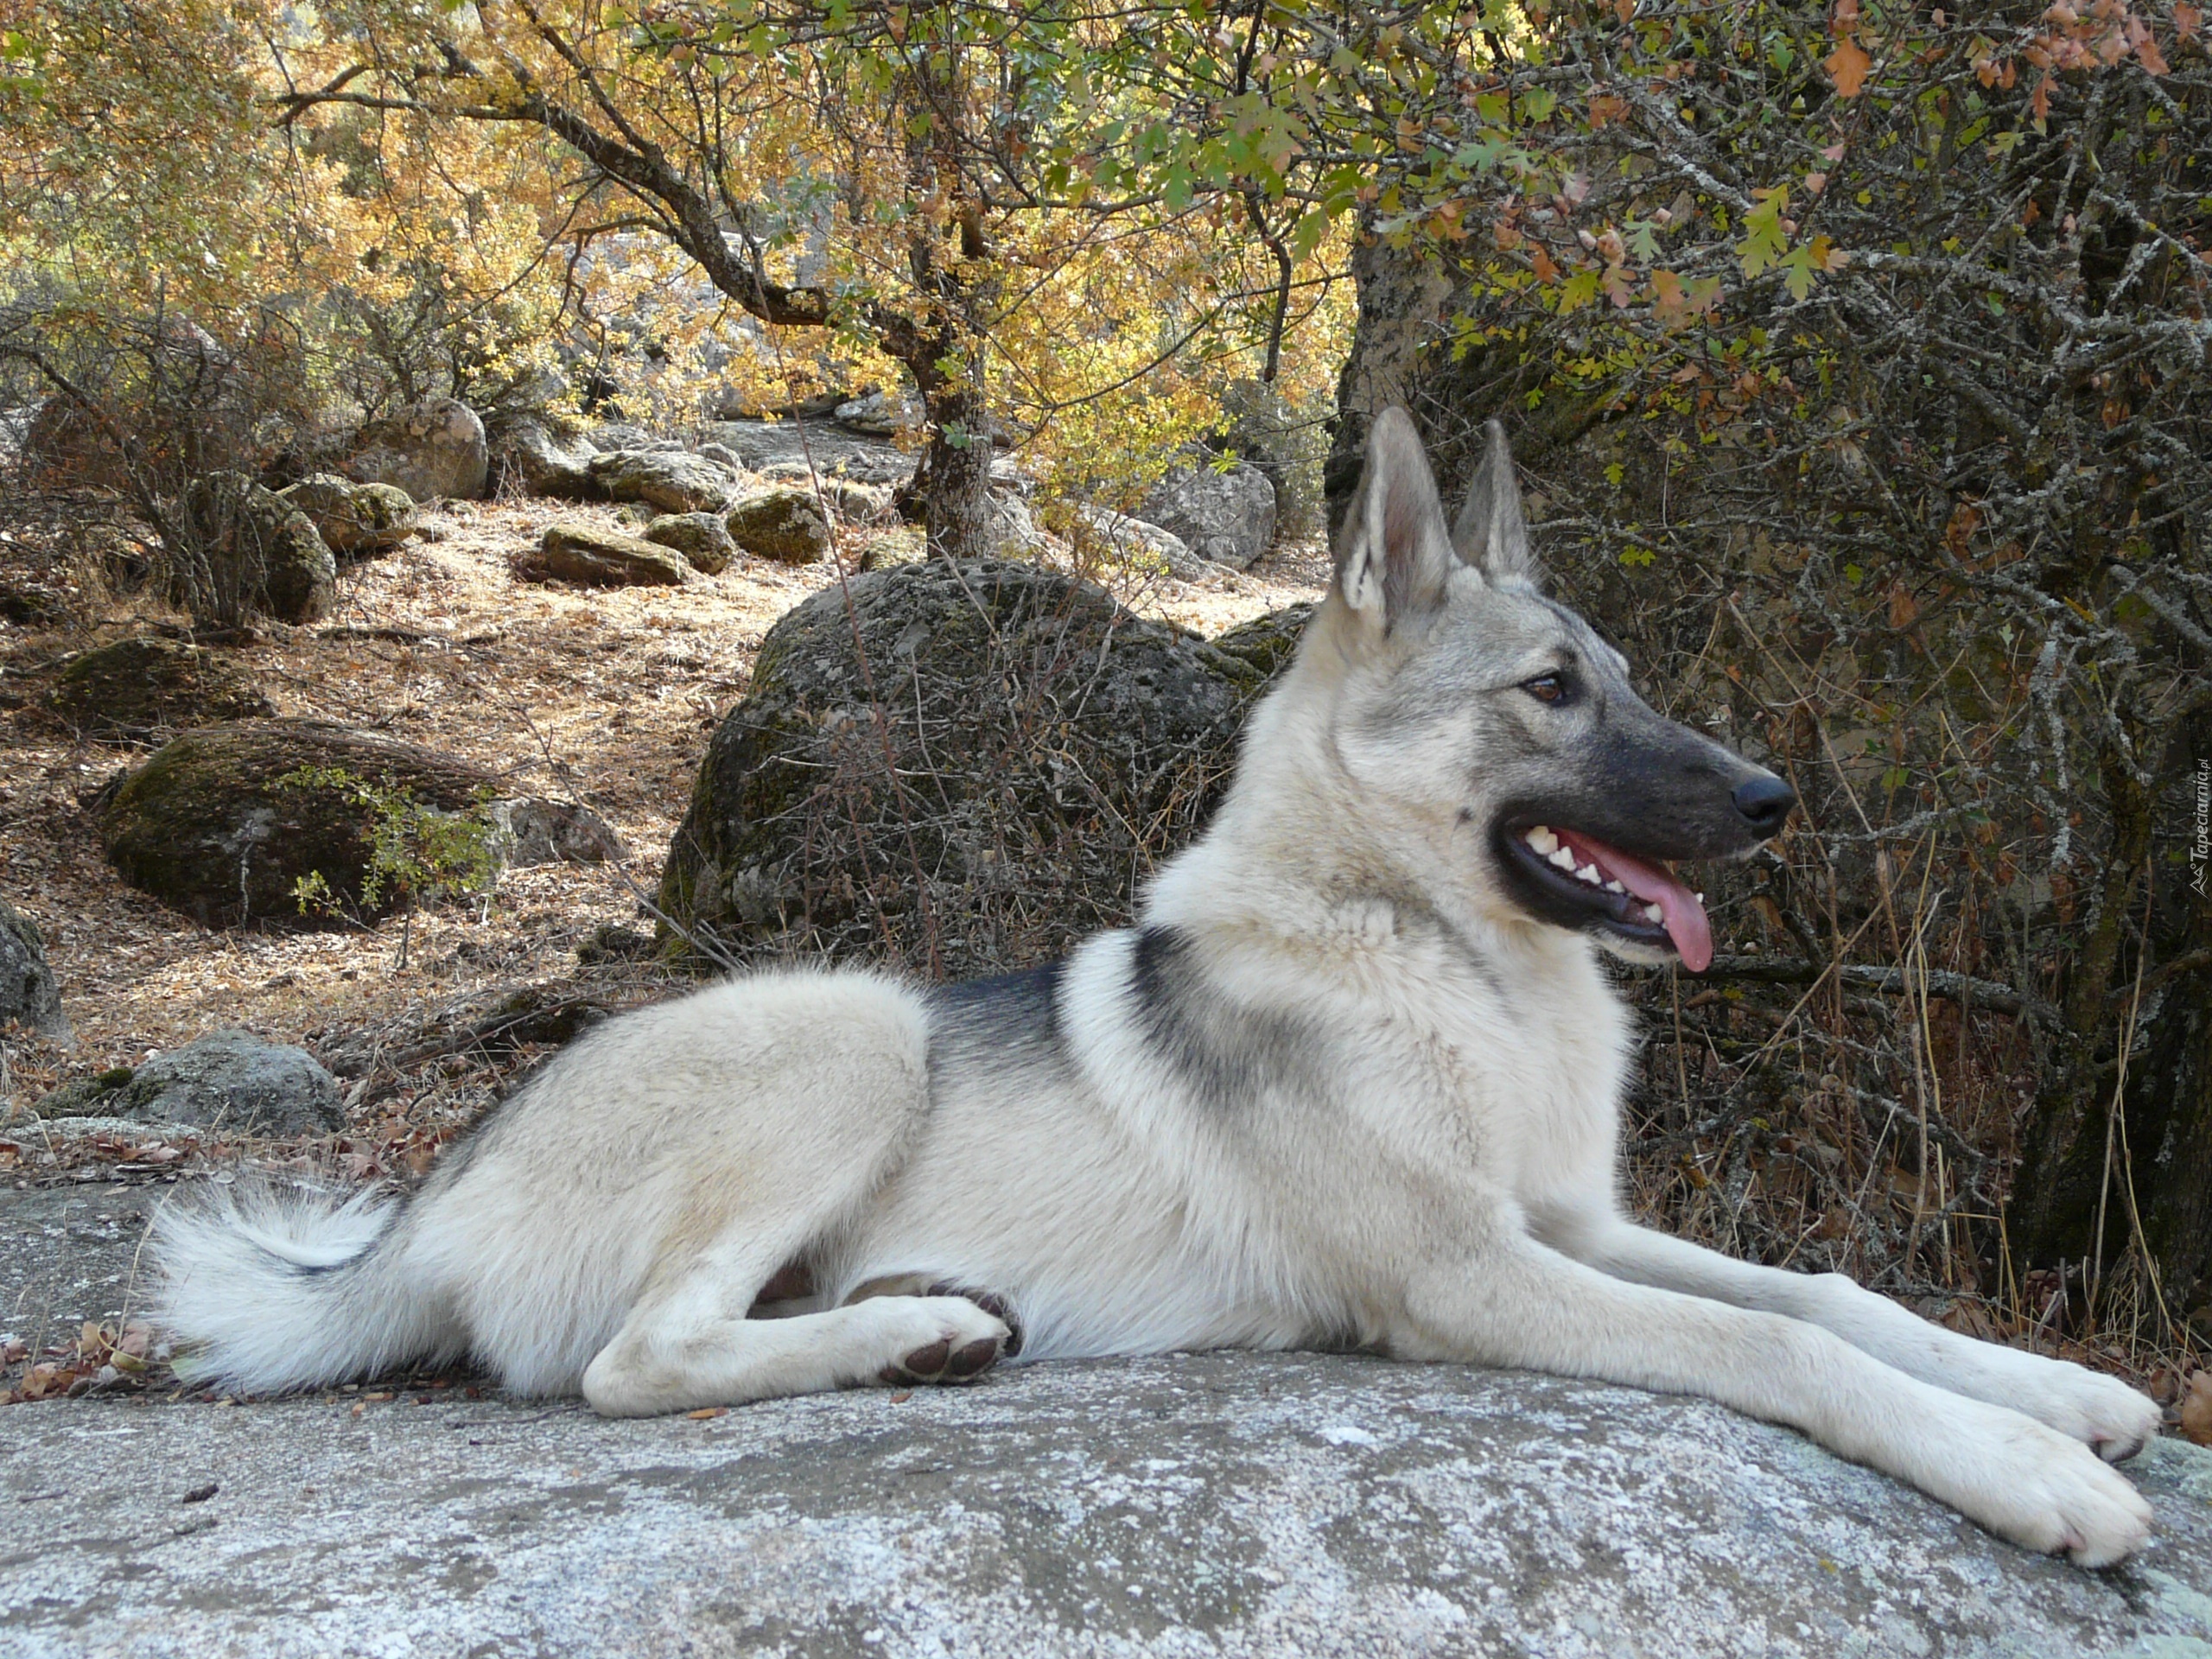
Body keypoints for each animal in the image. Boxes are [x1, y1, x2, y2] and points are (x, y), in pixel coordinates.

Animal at [156, 407, 2158, 1574]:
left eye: (1626, 678)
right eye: (1551, 693)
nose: (1769, 801)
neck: (1432, 951)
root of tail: (420, 1208)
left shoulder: (1570, 1227)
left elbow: (1824, 1291)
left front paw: (2050, 1391)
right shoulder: (1471, 1275)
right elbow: (1780, 1346)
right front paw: (2022, 1470)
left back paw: (923, 1316)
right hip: (849, 1022)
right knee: (640, 1364)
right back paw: (905, 1339)